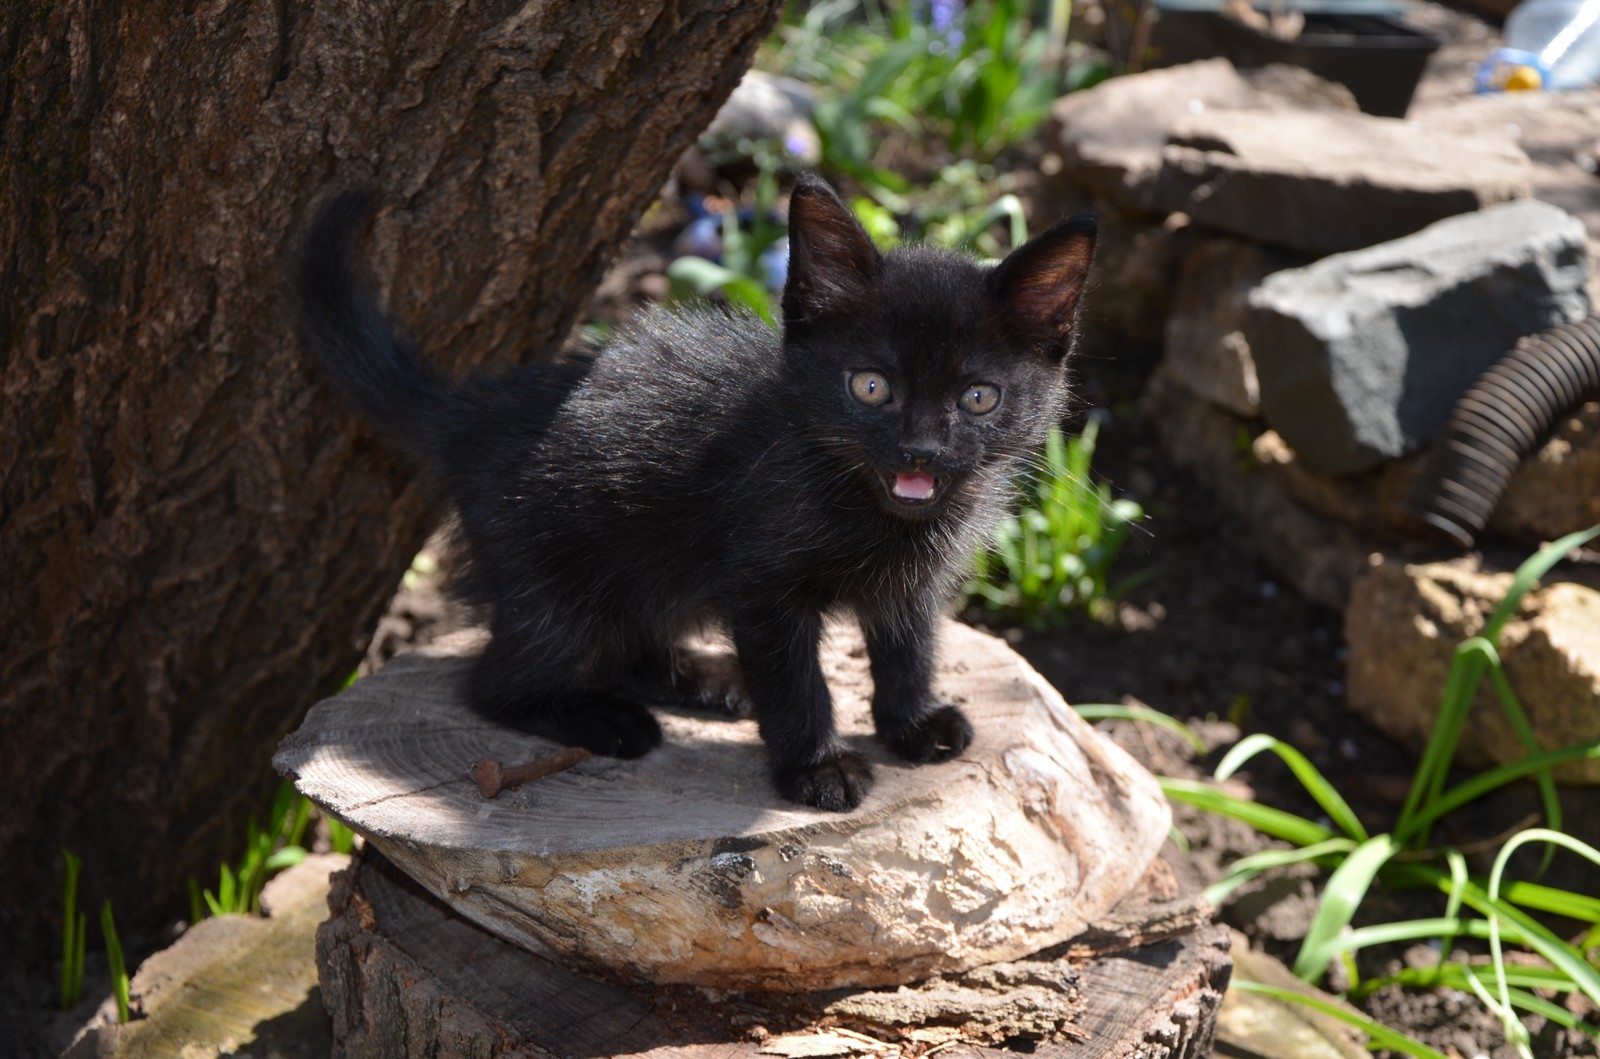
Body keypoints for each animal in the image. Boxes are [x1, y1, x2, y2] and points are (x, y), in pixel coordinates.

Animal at [297, 180, 1100, 812]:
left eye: (978, 397)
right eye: (870, 386)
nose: (921, 451)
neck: (864, 500)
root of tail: (471, 415)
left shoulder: (911, 581)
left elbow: (909, 646)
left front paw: (913, 723)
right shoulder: (759, 583)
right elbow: (795, 678)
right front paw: (816, 768)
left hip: (650, 568)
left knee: (628, 635)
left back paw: (709, 680)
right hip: (550, 573)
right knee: (498, 683)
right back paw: (611, 720)